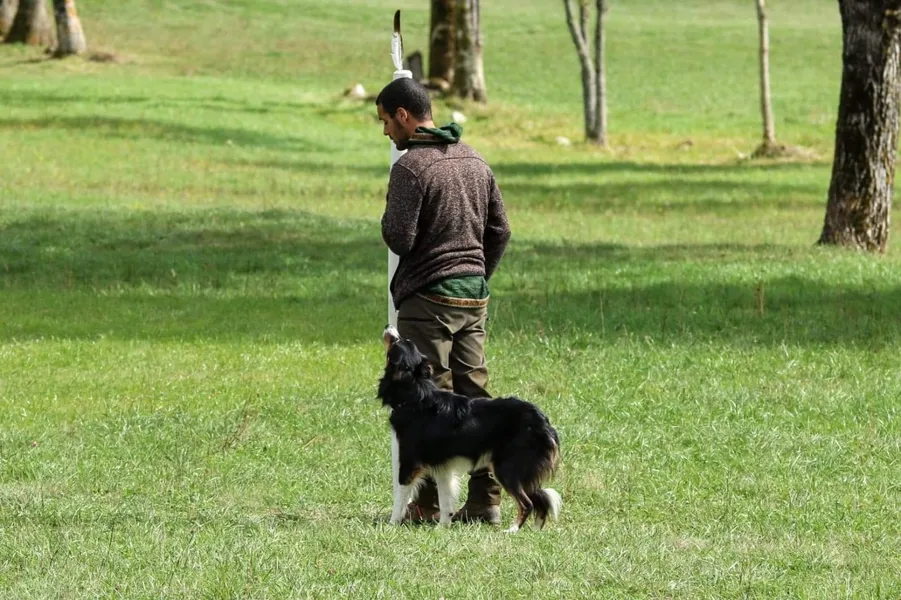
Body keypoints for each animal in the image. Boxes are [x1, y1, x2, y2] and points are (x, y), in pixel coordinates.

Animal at [376, 326, 560, 532]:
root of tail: (544, 422)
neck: (416, 395)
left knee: (527, 503)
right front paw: (442, 528)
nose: (389, 327)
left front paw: (391, 524)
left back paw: (512, 531)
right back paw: (535, 531)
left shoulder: (409, 462)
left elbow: (400, 497)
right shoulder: (443, 466)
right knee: (540, 502)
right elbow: (445, 500)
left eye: (396, 342)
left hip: (506, 468)